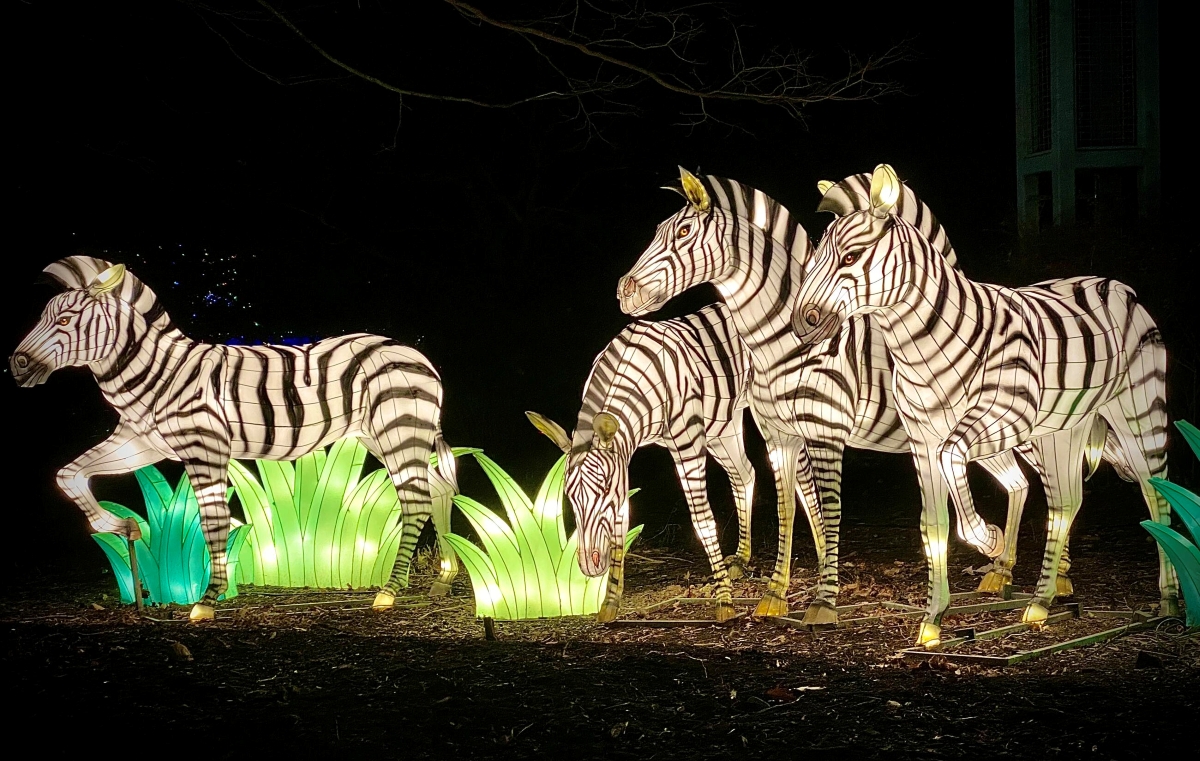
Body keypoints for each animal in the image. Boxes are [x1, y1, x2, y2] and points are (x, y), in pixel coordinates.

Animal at [10, 256, 459, 620]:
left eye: (64, 321)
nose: (17, 365)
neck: (158, 373)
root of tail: (421, 359)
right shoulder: (142, 442)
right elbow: (68, 475)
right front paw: (119, 524)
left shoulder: (205, 446)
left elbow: (214, 520)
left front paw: (209, 598)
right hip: (386, 437)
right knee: (438, 489)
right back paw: (443, 577)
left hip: (398, 430)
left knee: (416, 499)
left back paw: (390, 591)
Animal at [527, 303, 826, 623]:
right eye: (569, 497)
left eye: (603, 489)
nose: (589, 566)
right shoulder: (623, 461)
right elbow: (621, 524)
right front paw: (610, 603)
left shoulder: (686, 442)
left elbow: (702, 521)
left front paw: (723, 601)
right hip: (722, 424)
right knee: (744, 473)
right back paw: (743, 559)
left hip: (770, 411)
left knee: (801, 477)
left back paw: (817, 562)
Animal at [616, 167, 1054, 625]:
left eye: (683, 231)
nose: (624, 291)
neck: (779, 343)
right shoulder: (780, 438)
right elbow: (787, 509)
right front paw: (776, 594)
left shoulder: (826, 434)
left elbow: (828, 510)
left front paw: (825, 599)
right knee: (1019, 483)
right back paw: (1001, 572)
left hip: (1018, 430)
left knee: (1046, 481)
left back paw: (1048, 585)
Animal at [792, 164, 1176, 646]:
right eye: (814, 260)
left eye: (850, 257)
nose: (802, 323)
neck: (923, 342)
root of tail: (1116, 283)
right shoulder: (922, 441)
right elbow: (932, 524)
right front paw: (933, 620)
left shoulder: (1001, 418)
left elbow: (955, 461)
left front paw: (988, 540)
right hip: (1065, 425)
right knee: (1066, 502)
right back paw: (1040, 602)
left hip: (1138, 411)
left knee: (1155, 489)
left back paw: (1170, 601)